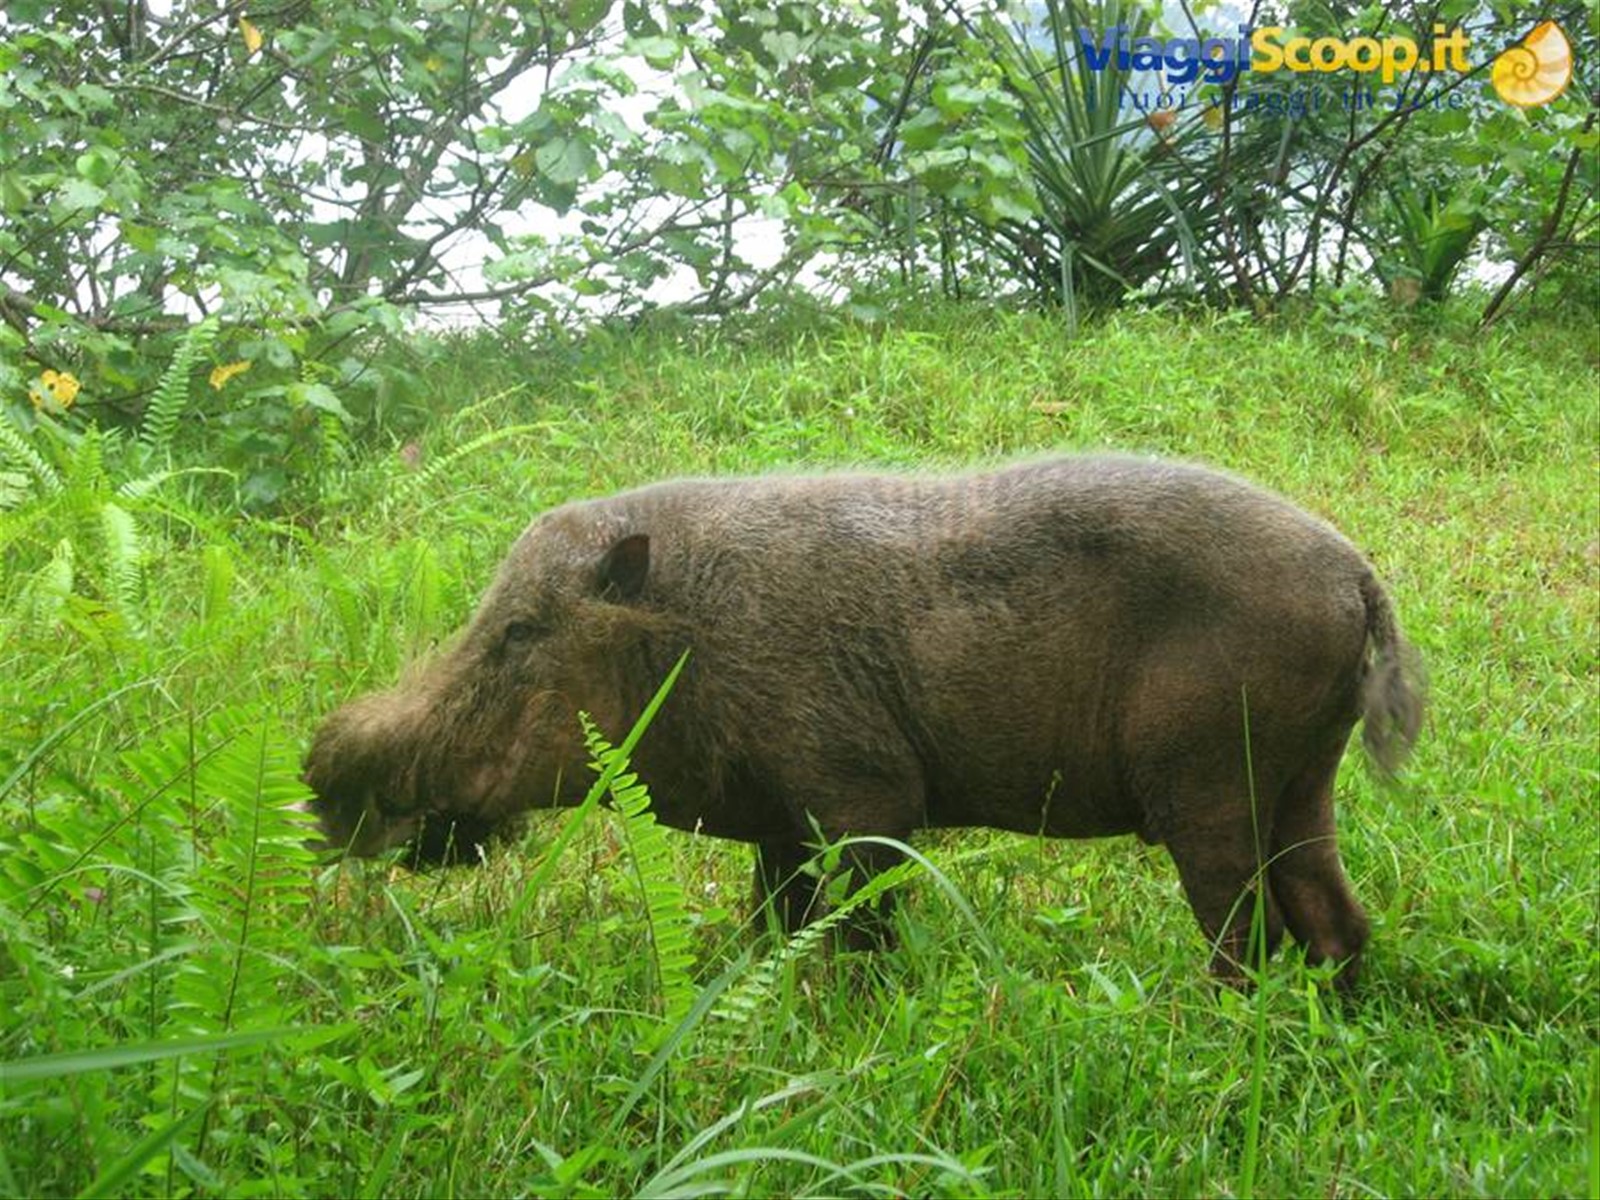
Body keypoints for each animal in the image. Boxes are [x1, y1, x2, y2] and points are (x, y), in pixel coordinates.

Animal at [305, 456, 1424, 989]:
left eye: (518, 630)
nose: (321, 783)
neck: (687, 637)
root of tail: (1356, 573)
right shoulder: (778, 826)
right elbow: (773, 926)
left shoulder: (864, 802)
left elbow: (858, 934)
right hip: (1298, 785)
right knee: (1335, 922)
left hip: (1208, 790)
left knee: (1251, 936)